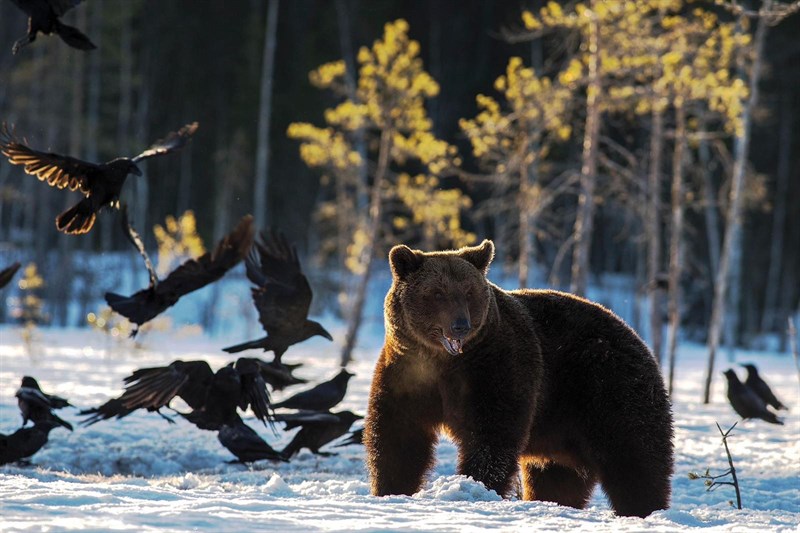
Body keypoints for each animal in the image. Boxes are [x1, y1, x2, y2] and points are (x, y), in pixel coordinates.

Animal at [366, 239, 672, 516]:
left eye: (468, 292)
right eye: (437, 292)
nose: (460, 325)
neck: (442, 360)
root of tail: (636, 336)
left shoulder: (494, 367)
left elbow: (492, 432)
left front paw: (475, 487)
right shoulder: (407, 372)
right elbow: (399, 435)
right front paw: (390, 488)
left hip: (608, 386)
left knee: (635, 457)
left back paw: (644, 509)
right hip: (561, 429)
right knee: (558, 478)